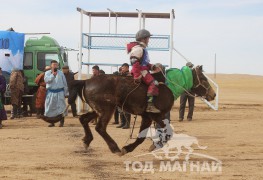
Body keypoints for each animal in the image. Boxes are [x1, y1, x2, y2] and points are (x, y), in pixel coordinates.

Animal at [68, 65, 217, 155]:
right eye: (203, 78)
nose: (213, 94)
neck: (168, 85)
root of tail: (86, 81)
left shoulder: (148, 117)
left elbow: (143, 137)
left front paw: (148, 145)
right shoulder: (154, 116)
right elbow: (167, 132)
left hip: (97, 110)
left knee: (83, 119)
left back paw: (87, 141)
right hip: (106, 110)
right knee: (100, 128)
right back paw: (114, 148)